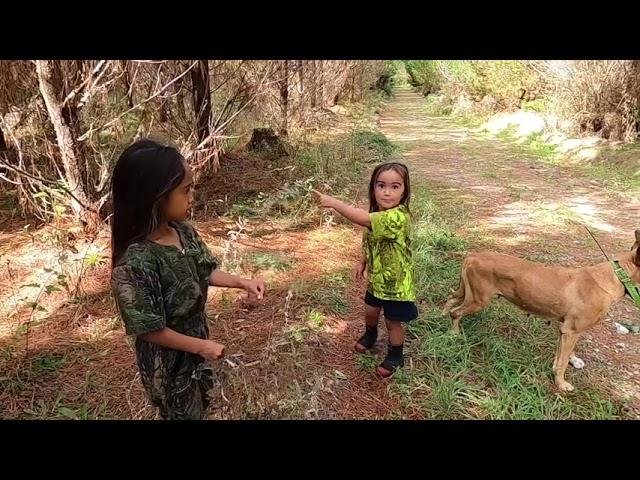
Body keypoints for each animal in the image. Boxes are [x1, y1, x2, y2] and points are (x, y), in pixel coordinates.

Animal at [444, 231, 640, 392]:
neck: (616, 276)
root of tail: (473, 256)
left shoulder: (564, 330)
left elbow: (559, 358)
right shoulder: (571, 331)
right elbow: (562, 363)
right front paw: (561, 384)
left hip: (467, 294)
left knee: (449, 301)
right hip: (478, 300)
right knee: (455, 312)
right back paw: (454, 334)